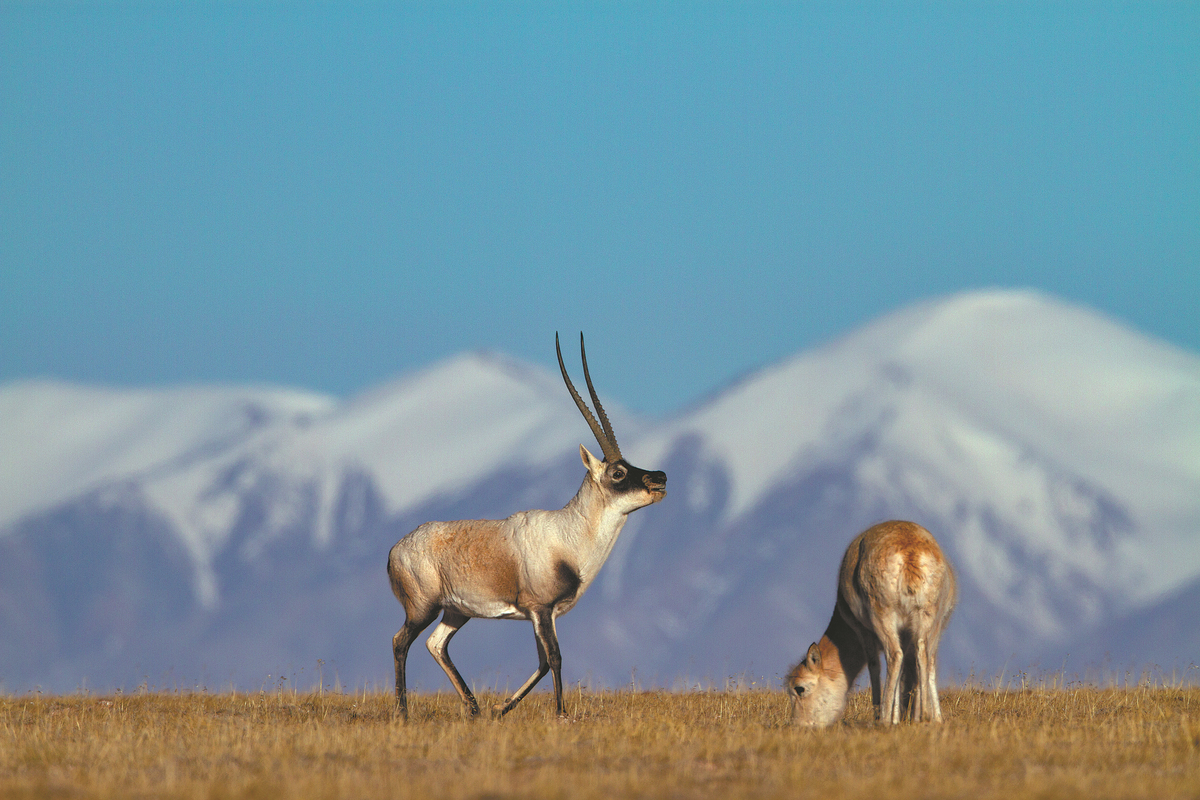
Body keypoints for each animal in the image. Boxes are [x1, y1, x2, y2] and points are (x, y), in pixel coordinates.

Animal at [386, 331, 667, 719]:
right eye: (618, 472)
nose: (660, 477)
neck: (569, 534)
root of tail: (396, 548)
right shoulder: (540, 609)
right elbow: (555, 657)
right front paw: (561, 713)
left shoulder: (545, 615)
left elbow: (543, 662)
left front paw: (502, 708)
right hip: (422, 607)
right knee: (401, 641)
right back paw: (403, 711)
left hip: (455, 612)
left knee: (435, 644)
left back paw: (475, 709)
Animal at [787, 522, 955, 729]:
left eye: (799, 688)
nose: (798, 724)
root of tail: (910, 550)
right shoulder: (907, 634)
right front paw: (901, 717)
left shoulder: (864, 632)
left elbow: (874, 665)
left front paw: (884, 716)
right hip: (928, 620)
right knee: (924, 656)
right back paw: (924, 716)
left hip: (884, 618)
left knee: (895, 656)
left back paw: (884, 720)